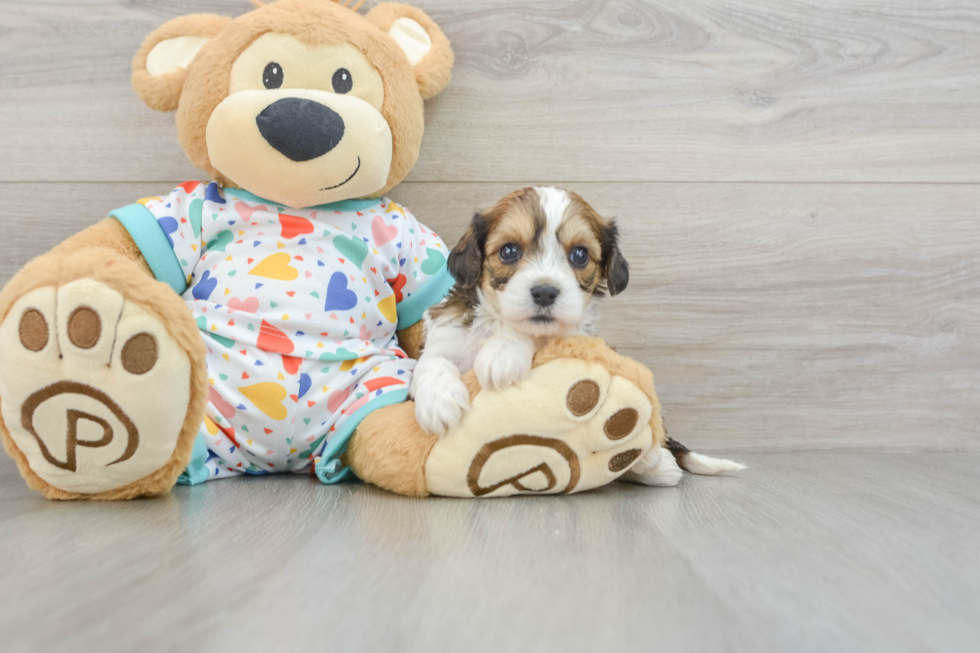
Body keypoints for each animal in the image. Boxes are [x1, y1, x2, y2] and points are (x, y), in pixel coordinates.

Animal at [410, 186, 624, 436]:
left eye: (580, 255)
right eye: (509, 251)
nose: (544, 292)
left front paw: (502, 353)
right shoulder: (447, 332)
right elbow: (432, 361)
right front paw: (438, 402)